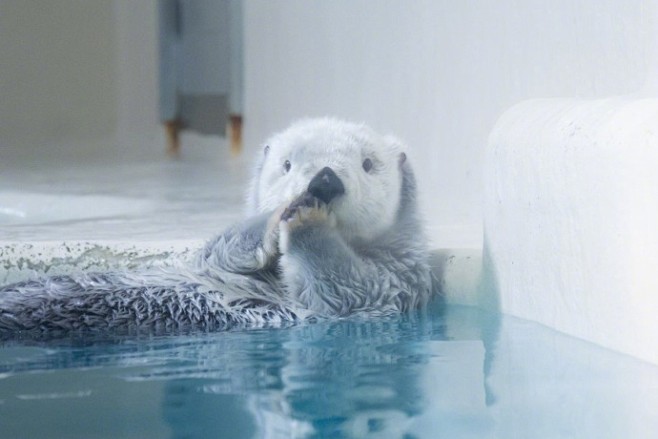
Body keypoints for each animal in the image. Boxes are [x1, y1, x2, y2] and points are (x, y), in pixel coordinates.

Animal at [0, 117, 434, 336]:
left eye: (368, 164)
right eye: (287, 164)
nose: (324, 181)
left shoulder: (393, 282)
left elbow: (344, 286)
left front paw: (307, 220)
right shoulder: (210, 259)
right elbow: (221, 248)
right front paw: (276, 215)